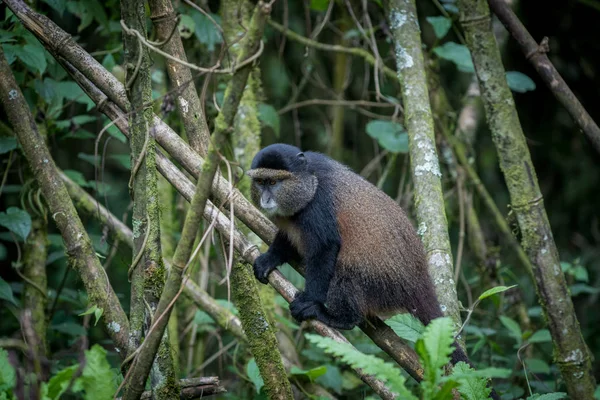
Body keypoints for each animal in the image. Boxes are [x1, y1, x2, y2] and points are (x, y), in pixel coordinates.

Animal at [246, 142, 490, 380]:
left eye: (274, 182)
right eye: (260, 182)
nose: (265, 199)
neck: (309, 181)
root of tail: (418, 283)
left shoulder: (318, 208)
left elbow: (326, 247)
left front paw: (310, 300)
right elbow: (286, 240)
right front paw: (268, 259)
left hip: (381, 284)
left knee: (346, 275)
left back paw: (336, 316)